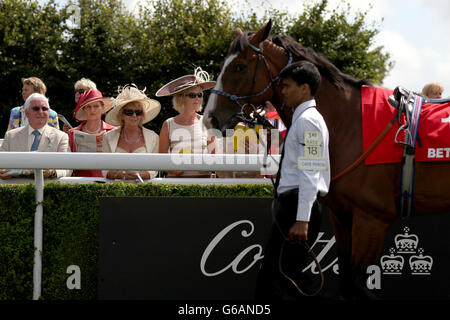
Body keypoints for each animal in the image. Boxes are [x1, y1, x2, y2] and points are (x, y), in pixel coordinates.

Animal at [203, 20, 450, 300]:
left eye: (239, 67)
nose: (209, 117)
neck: (350, 124)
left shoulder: (372, 219)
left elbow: (357, 285)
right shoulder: (343, 217)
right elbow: (346, 283)